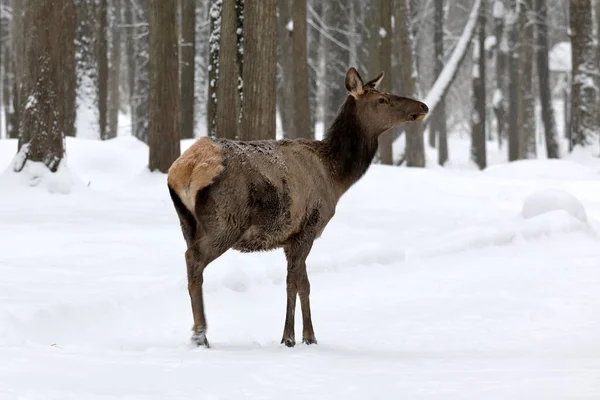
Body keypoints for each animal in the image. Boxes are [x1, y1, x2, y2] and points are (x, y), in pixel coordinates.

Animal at [166, 66, 428, 346]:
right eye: (383, 99)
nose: (423, 106)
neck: (336, 176)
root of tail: (185, 169)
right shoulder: (308, 227)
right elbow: (295, 282)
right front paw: (291, 337)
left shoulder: (292, 237)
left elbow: (303, 282)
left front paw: (307, 336)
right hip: (226, 221)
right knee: (193, 258)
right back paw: (201, 335)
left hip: (186, 223)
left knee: (192, 265)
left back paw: (200, 335)